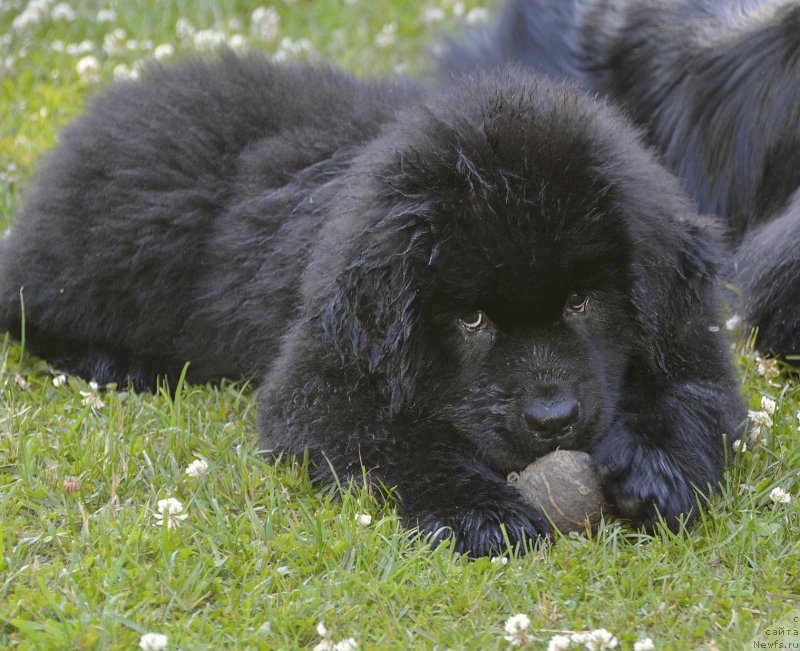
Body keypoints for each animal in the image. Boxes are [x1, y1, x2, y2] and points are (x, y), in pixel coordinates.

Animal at [0, 54, 744, 556]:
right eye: (471, 318)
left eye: (582, 300)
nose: (553, 418)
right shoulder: (321, 384)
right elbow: (402, 445)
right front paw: (483, 512)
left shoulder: (685, 333)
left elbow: (691, 398)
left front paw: (654, 467)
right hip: (114, 256)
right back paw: (116, 362)